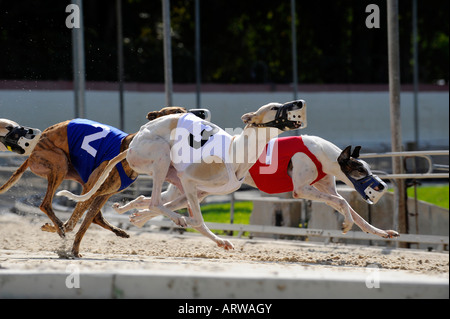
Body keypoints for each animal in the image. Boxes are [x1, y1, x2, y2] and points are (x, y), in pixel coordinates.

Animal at [0, 107, 190, 258]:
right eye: (177, 112)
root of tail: (33, 151)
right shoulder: (91, 189)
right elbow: (72, 224)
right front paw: (63, 237)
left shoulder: (103, 193)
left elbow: (83, 225)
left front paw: (74, 250)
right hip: (60, 163)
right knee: (45, 204)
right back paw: (58, 226)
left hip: (79, 177)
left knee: (94, 216)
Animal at [58, 101, 308, 251]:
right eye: (275, 108)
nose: (300, 103)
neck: (237, 152)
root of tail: (131, 145)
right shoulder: (189, 180)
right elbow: (197, 220)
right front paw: (184, 220)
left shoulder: (198, 190)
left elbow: (191, 217)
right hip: (161, 156)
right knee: (155, 201)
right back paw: (172, 218)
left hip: (174, 180)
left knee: (148, 200)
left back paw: (134, 213)